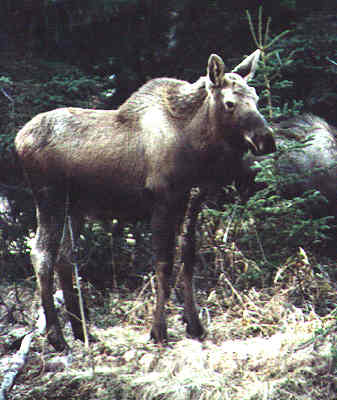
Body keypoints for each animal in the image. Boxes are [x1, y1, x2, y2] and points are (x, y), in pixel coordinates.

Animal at [14, 49, 274, 350]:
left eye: (256, 97)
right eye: (230, 103)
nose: (266, 140)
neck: (196, 146)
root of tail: (18, 140)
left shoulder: (191, 200)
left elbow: (188, 257)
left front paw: (194, 324)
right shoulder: (162, 201)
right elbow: (163, 263)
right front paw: (159, 330)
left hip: (75, 207)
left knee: (65, 258)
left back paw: (82, 332)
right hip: (50, 198)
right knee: (41, 254)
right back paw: (57, 337)